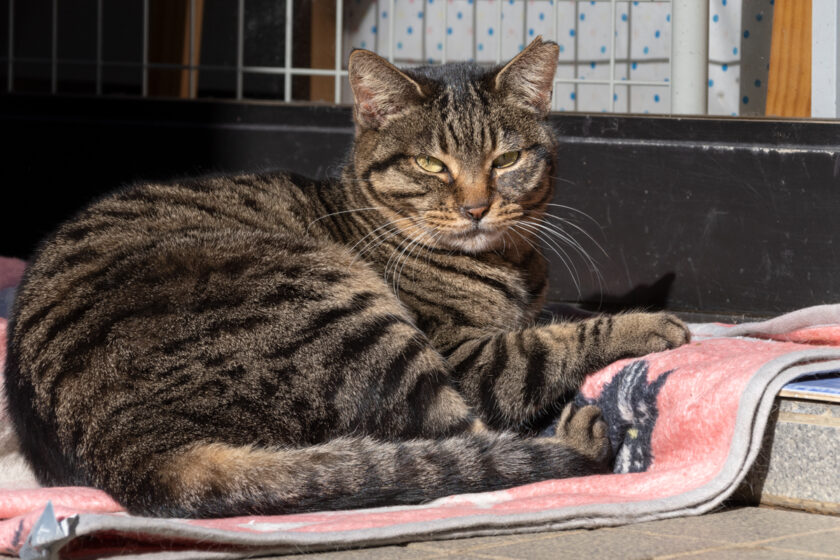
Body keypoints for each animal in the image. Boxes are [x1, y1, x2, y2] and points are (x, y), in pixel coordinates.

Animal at [4, 39, 688, 520]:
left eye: (508, 159)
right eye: (430, 164)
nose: (476, 207)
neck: (509, 262)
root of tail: (130, 455)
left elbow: (556, 318)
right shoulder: (469, 357)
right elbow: (549, 343)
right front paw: (655, 323)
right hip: (345, 313)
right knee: (458, 443)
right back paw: (575, 432)